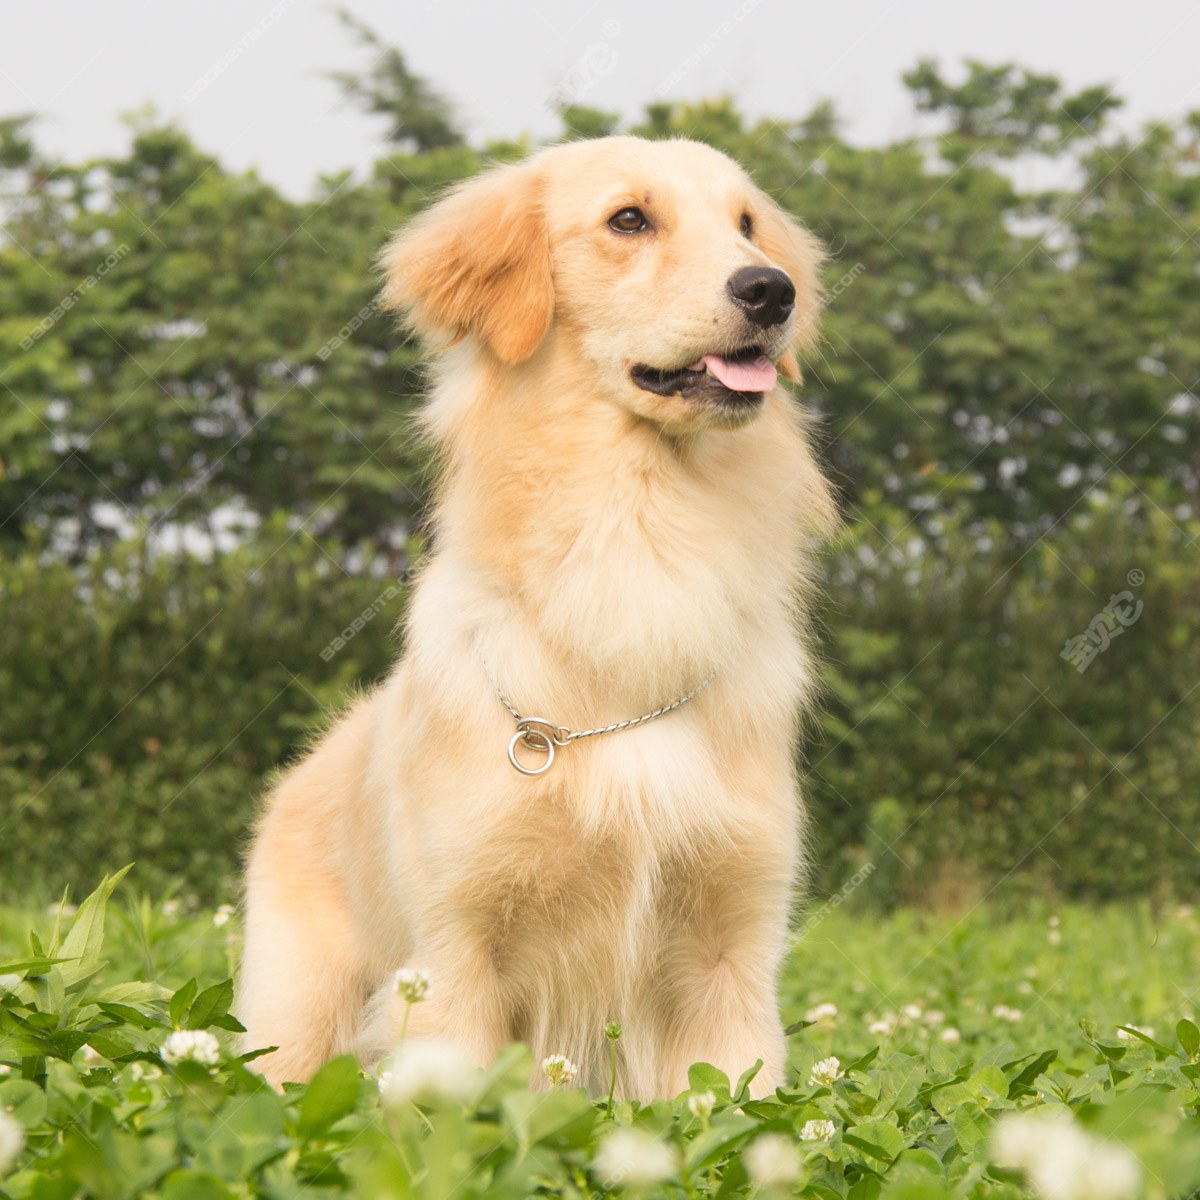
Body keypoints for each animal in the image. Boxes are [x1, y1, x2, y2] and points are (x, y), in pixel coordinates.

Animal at [236, 133, 835, 1099]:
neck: (642, 534)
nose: (771, 289)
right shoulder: (454, 960)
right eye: (629, 219)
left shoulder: (731, 954)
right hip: (297, 1016)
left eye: (747, 223)